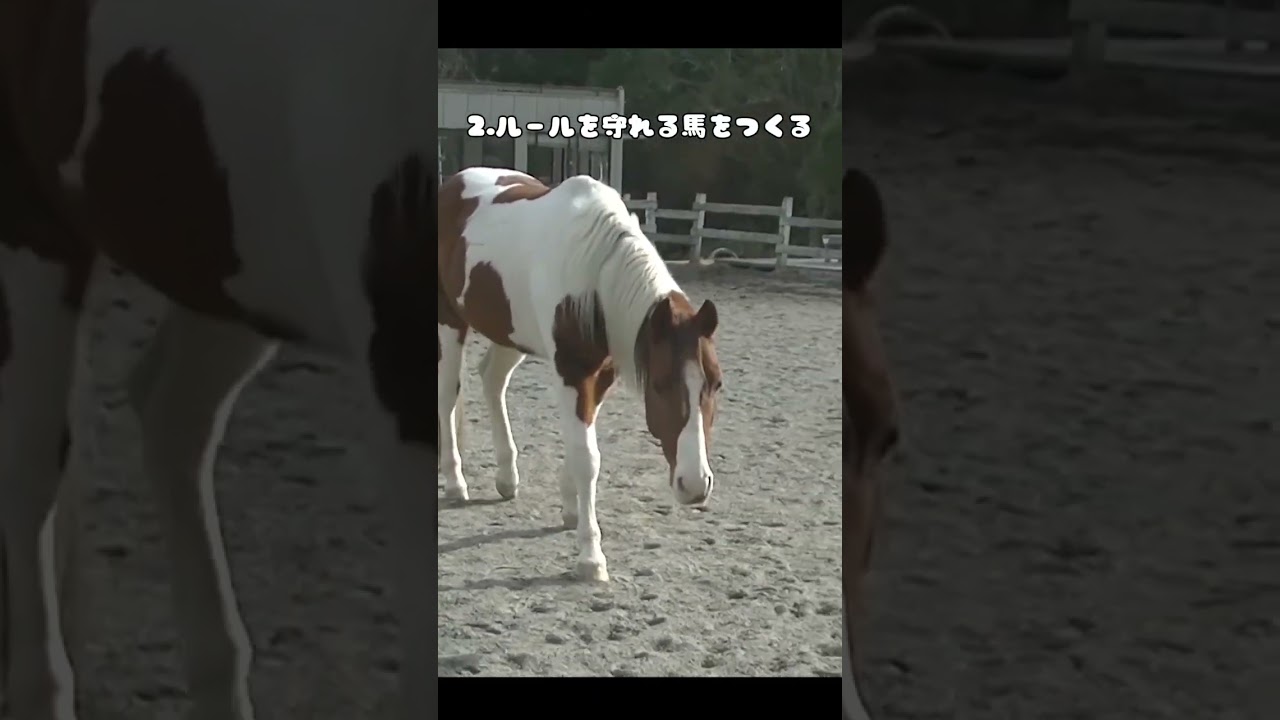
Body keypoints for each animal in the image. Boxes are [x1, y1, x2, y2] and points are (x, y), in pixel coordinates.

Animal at [437, 167, 723, 582]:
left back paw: (506, 477)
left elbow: (579, 448)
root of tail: (453, 183)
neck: (596, 276)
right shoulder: (571, 374)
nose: (695, 485)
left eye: (716, 384)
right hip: (449, 320)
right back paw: (455, 482)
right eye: (659, 385)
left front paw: (570, 508)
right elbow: (588, 457)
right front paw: (590, 555)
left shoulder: (598, 376)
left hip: (509, 332)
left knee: (492, 379)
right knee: (447, 394)